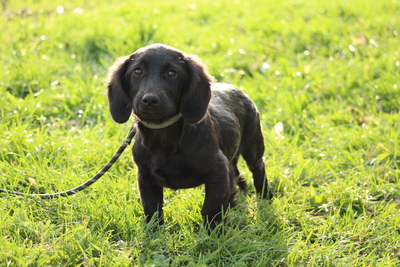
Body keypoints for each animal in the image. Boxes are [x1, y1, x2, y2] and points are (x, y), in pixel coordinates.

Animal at [106, 43, 270, 230]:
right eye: (137, 71)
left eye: (172, 73)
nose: (149, 100)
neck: (164, 135)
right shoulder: (145, 176)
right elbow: (152, 209)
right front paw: (153, 232)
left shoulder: (217, 171)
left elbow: (211, 208)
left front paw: (212, 233)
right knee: (235, 170)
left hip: (253, 143)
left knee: (258, 167)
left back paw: (265, 197)